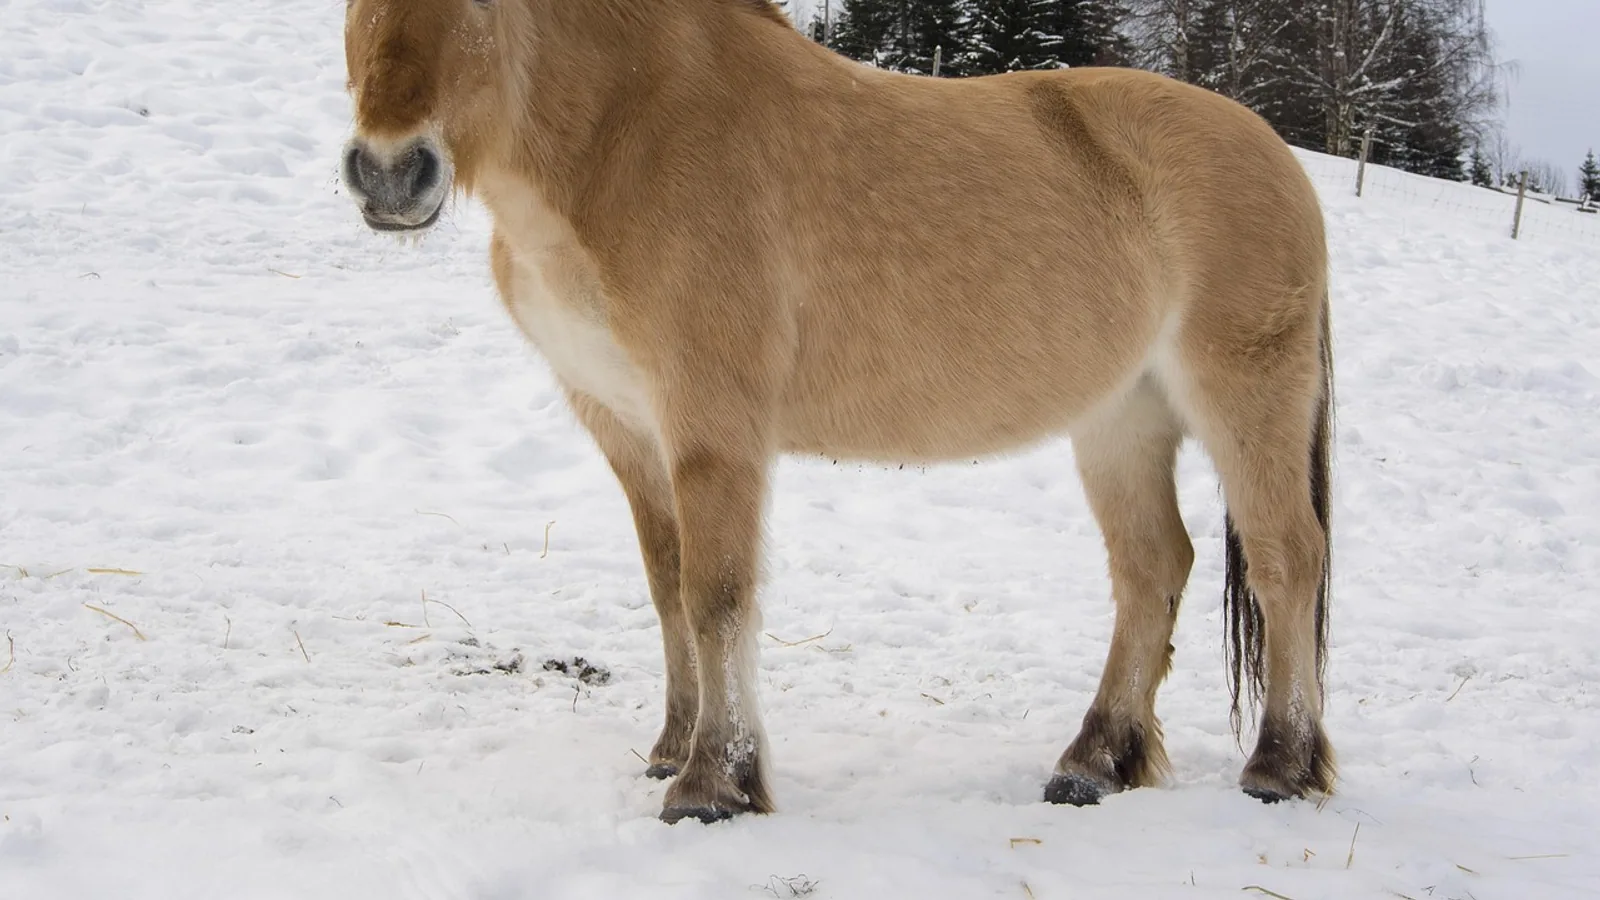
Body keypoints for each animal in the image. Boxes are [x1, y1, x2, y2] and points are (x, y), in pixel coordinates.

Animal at [339, 0, 1336, 825]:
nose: (390, 174)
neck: (629, 132)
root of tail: (1274, 152)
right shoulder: (625, 424)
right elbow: (668, 586)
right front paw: (672, 749)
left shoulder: (714, 427)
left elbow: (717, 595)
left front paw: (715, 783)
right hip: (1121, 418)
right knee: (1151, 568)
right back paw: (1092, 764)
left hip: (1245, 396)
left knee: (1287, 557)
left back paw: (1278, 769)